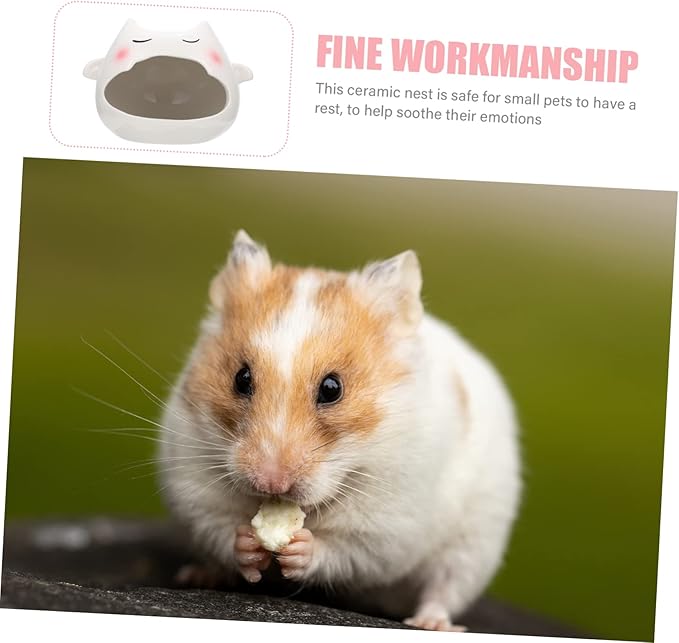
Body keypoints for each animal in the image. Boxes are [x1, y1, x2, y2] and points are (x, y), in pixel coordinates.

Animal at [159, 230, 522, 631]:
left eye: (332, 388)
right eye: (241, 378)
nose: (271, 483)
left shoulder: (386, 526)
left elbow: (343, 551)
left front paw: (299, 548)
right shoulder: (195, 485)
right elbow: (222, 529)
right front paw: (249, 544)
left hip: (473, 545)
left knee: (443, 588)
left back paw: (429, 623)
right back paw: (199, 575)